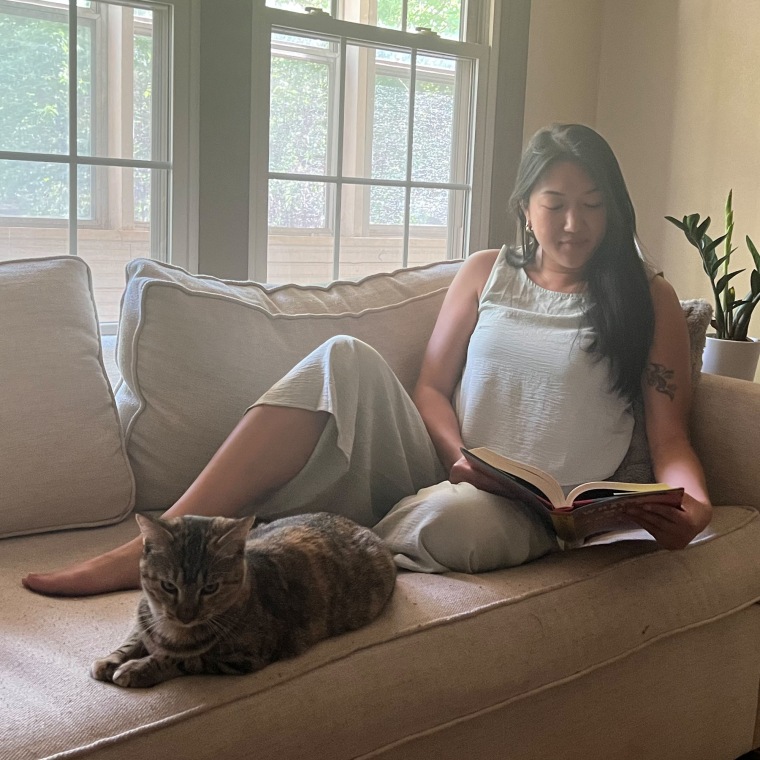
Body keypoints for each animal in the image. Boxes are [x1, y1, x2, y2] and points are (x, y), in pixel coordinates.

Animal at [90, 510, 398, 688]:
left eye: (210, 588)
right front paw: (110, 660)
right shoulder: (146, 619)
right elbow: (133, 639)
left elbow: (184, 659)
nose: (186, 615)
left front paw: (138, 668)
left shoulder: (243, 657)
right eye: (168, 586)